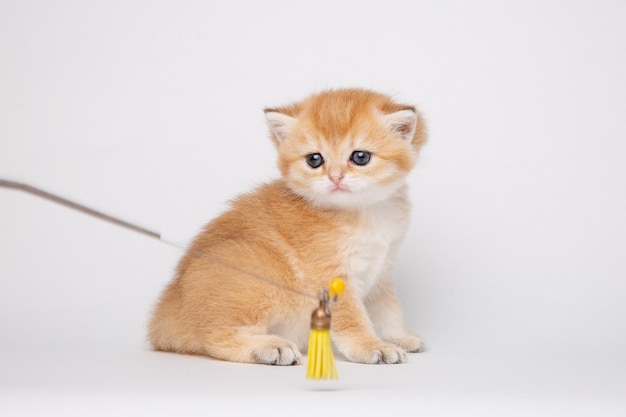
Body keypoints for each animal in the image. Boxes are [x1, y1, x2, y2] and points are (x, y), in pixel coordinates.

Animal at [149, 88, 426, 364]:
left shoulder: (382, 273)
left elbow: (388, 311)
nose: (335, 177)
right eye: (314, 159)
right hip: (259, 267)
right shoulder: (330, 278)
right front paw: (371, 346)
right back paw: (269, 347)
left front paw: (398, 336)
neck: (366, 213)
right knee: (216, 337)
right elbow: (352, 319)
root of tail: (165, 315)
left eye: (360, 157)